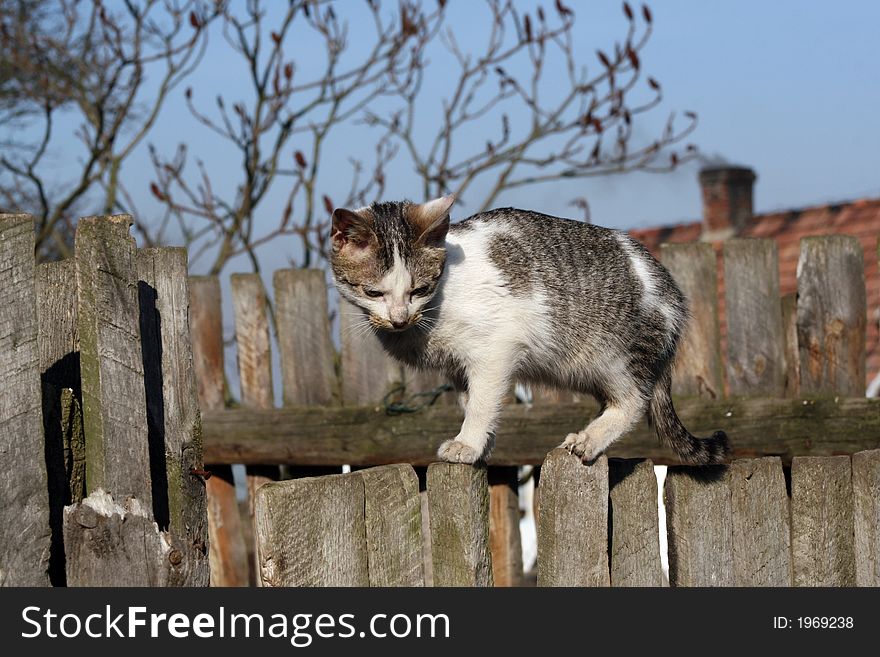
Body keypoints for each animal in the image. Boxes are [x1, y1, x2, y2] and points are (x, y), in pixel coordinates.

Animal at [330, 196, 728, 466]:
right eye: (374, 293)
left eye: (419, 290)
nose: (399, 318)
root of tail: (671, 290)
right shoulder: (458, 368)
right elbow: (473, 401)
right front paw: (483, 443)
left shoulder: (495, 350)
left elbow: (481, 403)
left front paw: (467, 443)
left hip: (616, 356)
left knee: (634, 401)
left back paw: (590, 438)